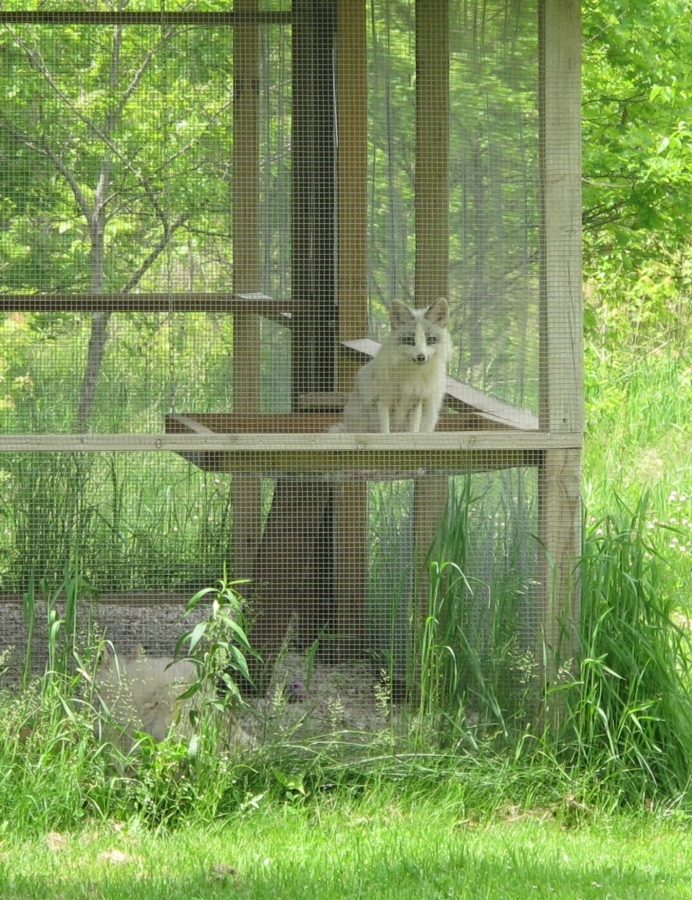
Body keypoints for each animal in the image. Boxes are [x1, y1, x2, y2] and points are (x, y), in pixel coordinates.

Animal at [338, 298, 452, 434]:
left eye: (430, 339)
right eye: (410, 340)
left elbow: (414, 431)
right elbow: (386, 431)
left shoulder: (416, 403)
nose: (421, 357)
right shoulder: (383, 401)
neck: (411, 376)